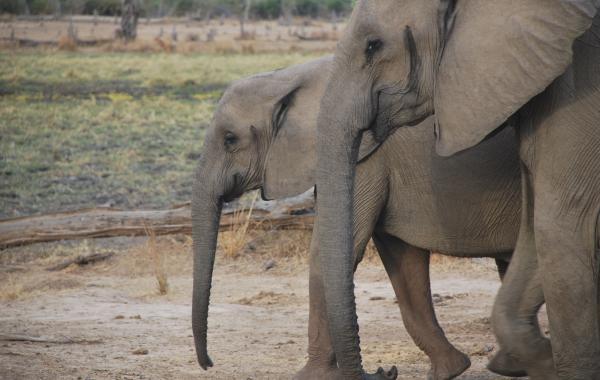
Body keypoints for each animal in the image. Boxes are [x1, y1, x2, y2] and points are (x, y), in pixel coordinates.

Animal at [192, 56, 524, 380]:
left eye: (230, 139)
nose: (209, 364)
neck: (296, 77)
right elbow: (402, 257)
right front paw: (450, 370)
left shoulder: (365, 158)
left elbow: (329, 251)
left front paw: (313, 376)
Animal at [314, 0, 600, 380]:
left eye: (373, 45)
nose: (385, 370)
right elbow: (534, 235)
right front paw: (542, 360)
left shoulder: (581, 99)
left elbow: (562, 229)